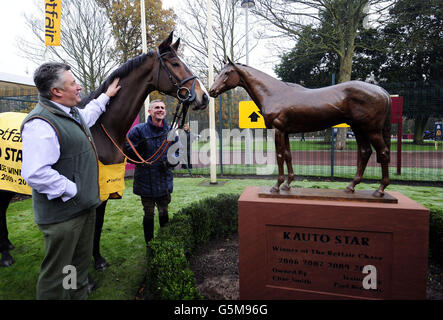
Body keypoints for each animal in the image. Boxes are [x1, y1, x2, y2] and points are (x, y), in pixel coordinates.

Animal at [0, 32, 210, 268]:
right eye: (174, 63)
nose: (203, 96)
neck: (101, 127)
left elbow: (98, 225)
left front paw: (98, 258)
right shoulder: (96, 191)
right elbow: (92, 226)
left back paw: (7, 247)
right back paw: (5, 255)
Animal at [209, 58, 392, 196]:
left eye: (227, 73)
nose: (211, 91)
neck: (274, 93)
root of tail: (381, 90)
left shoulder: (278, 130)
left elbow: (280, 156)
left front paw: (276, 186)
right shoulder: (286, 132)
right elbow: (288, 155)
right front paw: (287, 184)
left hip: (371, 130)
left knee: (382, 153)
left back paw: (380, 190)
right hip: (358, 129)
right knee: (365, 152)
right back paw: (351, 186)